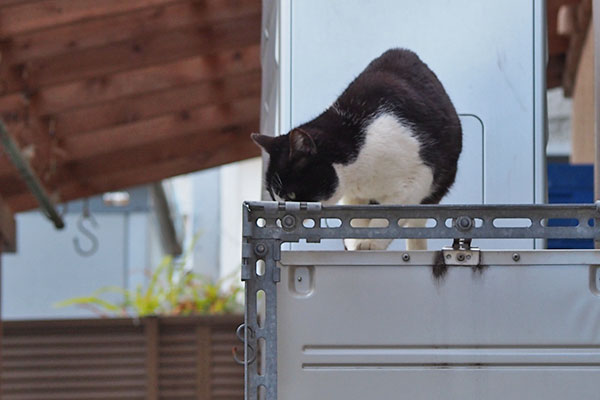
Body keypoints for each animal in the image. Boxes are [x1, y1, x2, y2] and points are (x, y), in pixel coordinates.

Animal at [251, 48, 462, 250]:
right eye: (275, 198)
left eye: (291, 196)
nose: (282, 221)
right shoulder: (354, 195)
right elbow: (355, 220)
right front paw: (355, 242)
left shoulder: (418, 177)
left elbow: (392, 215)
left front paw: (371, 242)